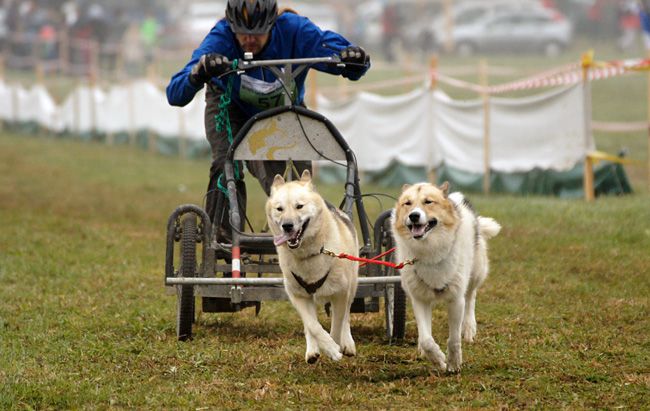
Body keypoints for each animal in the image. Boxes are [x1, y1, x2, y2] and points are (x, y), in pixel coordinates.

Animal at [264, 171, 360, 364]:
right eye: (279, 209)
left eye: (299, 206)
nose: (287, 226)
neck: (309, 253)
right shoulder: (298, 295)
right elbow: (312, 325)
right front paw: (327, 347)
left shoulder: (341, 293)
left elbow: (338, 324)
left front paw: (335, 347)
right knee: (310, 324)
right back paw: (313, 349)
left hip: (352, 284)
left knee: (346, 316)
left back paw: (347, 343)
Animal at [390, 183, 502, 374]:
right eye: (407, 203)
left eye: (428, 202)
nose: (414, 216)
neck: (430, 251)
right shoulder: (419, 299)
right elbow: (427, 340)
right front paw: (439, 360)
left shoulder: (456, 299)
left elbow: (454, 339)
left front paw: (454, 364)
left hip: (476, 272)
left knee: (471, 297)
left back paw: (469, 328)